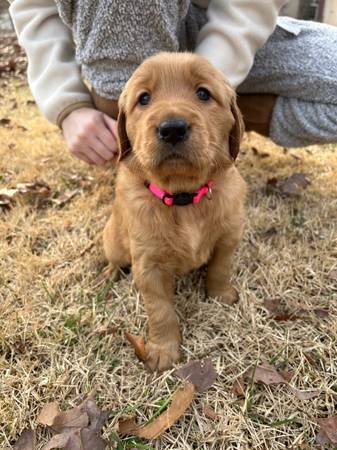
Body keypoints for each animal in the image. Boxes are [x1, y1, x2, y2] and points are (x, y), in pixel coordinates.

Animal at [101, 51, 244, 370]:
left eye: (203, 93)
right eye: (144, 98)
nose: (172, 128)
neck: (183, 198)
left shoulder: (228, 236)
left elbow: (220, 268)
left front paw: (220, 295)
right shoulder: (148, 264)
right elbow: (161, 309)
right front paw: (163, 350)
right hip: (114, 241)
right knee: (116, 258)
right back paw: (110, 272)